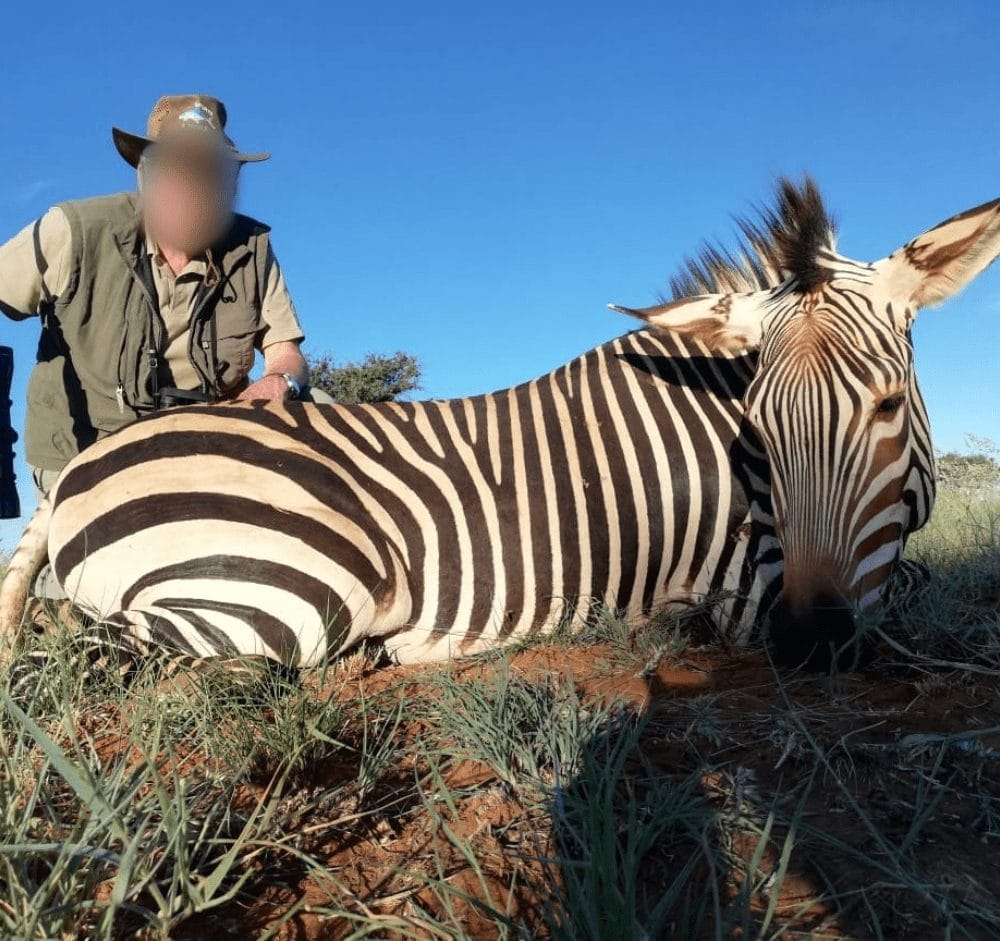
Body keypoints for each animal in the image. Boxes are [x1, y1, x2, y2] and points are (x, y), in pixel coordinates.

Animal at [1, 177, 997, 674]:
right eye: (757, 429)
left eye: (887, 406)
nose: (811, 643)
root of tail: (87, 467)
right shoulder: (743, 584)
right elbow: (916, 586)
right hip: (287, 594)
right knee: (77, 640)